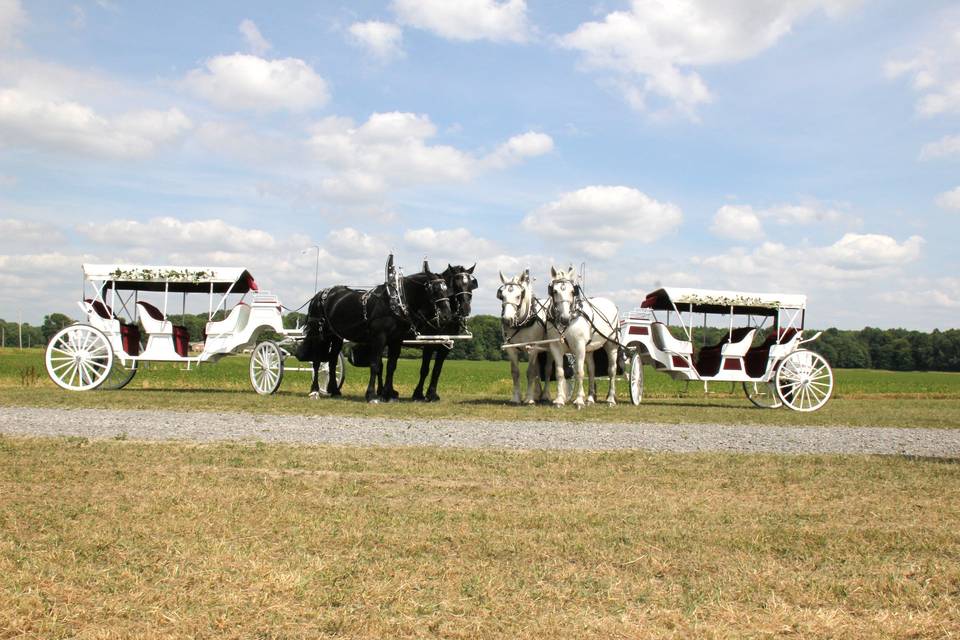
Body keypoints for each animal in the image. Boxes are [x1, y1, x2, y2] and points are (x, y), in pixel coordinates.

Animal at [298, 258, 452, 400]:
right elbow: (375, 364)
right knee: (317, 361)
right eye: (434, 290)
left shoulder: (396, 340)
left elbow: (391, 366)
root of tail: (319, 295)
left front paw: (388, 394)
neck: (394, 302)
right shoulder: (379, 337)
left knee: (332, 361)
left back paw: (335, 391)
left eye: (447, 289)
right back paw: (315, 391)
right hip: (319, 334)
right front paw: (372, 394)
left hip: (336, 337)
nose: (446, 316)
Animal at [410, 262, 478, 400]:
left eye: (470, 284)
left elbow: (437, 370)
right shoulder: (428, 346)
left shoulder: (445, 348)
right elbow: (425, 369)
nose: (465, 308)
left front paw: (432, 394)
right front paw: (418, 394)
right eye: (456, 284)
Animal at [502, 270, 556, 404]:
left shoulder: (533, 347)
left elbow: (531, 372)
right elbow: (515, 372)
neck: (523, 322)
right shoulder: (511, 349)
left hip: (549, 349)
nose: (507, 320)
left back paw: (545, 395)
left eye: (518, 296)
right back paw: (537, 393)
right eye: (502, 295)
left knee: (547, 370)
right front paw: (516, 398)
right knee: (537, 369)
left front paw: (529, 399)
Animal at [544, 264, 620, 410]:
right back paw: (590, 398)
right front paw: (559, 400)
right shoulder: (555, 347)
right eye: (554, 291)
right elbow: (559, 373)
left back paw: (611, 399)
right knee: (591, 370)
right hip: (589, 350)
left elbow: (579, 372)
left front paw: (579, 400)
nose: (564, 318)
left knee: (612, 371)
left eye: (572, 291)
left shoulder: (579, 347)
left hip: (611, 345)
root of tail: (612, 304)